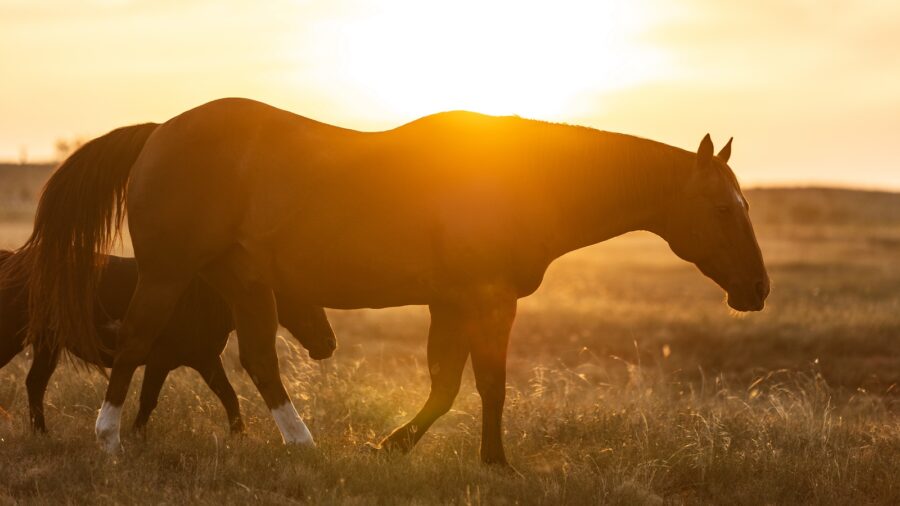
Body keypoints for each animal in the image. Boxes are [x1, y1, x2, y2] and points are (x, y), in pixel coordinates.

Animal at [0, 249, 336, 436]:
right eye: (301, 296)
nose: (329, 344)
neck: (206, 297)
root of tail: (13, 259)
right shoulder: (160, 360)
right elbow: (148, 400)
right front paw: (135, 436)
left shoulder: (206, 360)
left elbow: (229, 397)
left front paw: (239, 436)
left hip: (47, 345)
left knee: (35, 383)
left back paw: (41, 433)